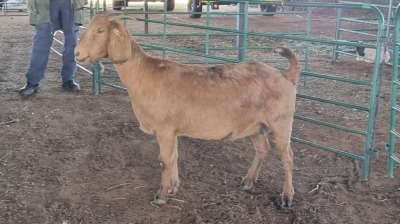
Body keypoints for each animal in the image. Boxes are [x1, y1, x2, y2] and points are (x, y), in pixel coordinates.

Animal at [75, 14, 300, 207]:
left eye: (100, 31)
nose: (77, 53)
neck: (143, 73)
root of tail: (286, 75)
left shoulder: (164, 129)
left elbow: (165, 161)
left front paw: (161, 195)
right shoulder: (172, 130)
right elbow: (174, 157)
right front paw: (173, 188)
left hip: (280, 122)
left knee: (287, 156)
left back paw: (287, 197)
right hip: (255, 126)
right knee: (263, 149)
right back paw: (248, 181)